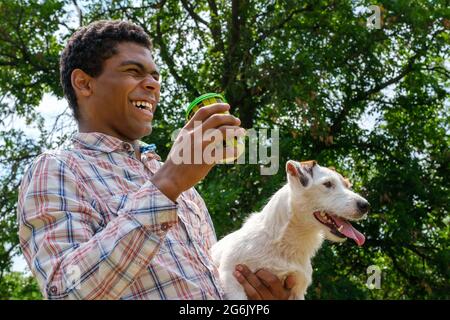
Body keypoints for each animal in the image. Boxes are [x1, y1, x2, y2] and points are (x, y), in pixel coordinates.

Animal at [211, 160, 370, 300]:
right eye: (327, 184)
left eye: (347, 185)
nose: (365, 205)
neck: (284, 243)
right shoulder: (230, 277)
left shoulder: (298, 288)